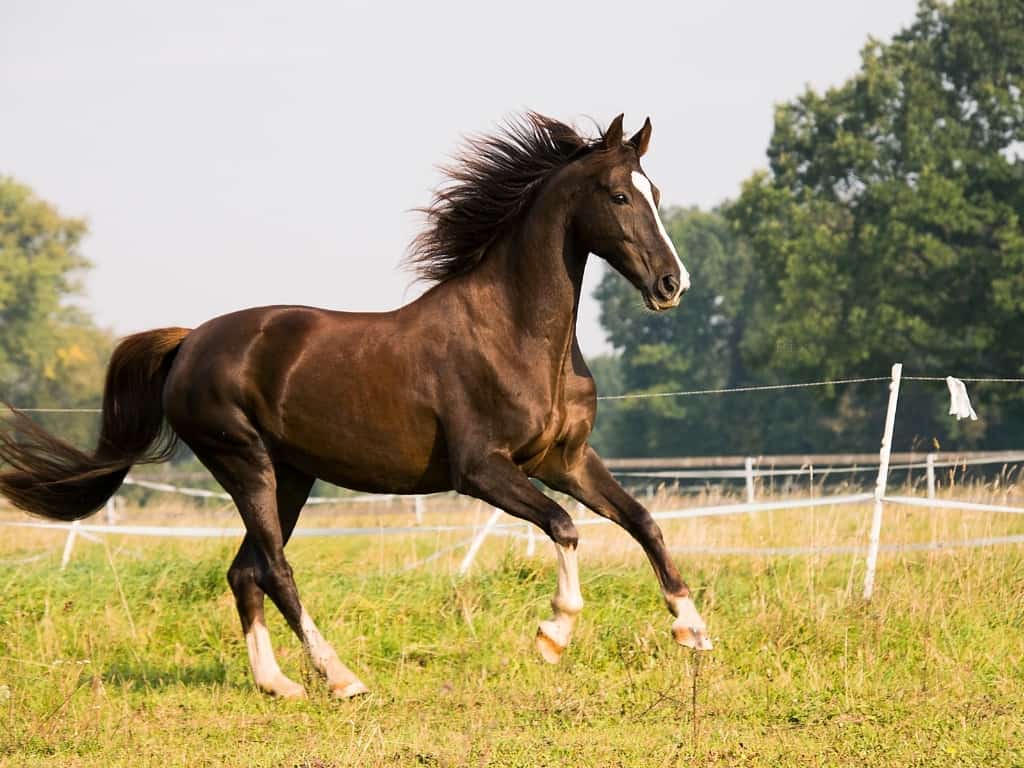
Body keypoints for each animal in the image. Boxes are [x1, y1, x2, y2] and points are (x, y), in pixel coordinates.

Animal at [2, 115, 712, 704]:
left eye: (656, 192)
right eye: (619, 196)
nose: (671, 285)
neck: (515, 334)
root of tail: (190, 341)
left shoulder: (565, 460)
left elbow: (642, 520)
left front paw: (693, 629)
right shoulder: (482, 471)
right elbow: (565, 527)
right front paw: (553, 635)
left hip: (289, 476)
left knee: (243, 571)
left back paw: (278, 684)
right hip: (245, 463)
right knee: (275, 569)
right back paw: (340, 678)